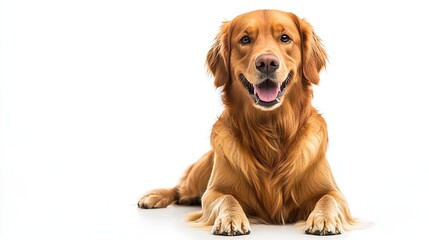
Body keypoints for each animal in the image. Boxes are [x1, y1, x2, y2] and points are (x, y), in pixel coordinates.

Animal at [138, 9, 354, 236]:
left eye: (285, 38)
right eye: (245, 39)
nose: (267, 62)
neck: (270, 129)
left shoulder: (335, 192)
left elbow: (328, 198)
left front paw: (324, 219)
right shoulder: (213, 192)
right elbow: (227, 198)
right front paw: (231, 219)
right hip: (198, 175)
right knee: (179, 189)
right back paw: (154, 196)